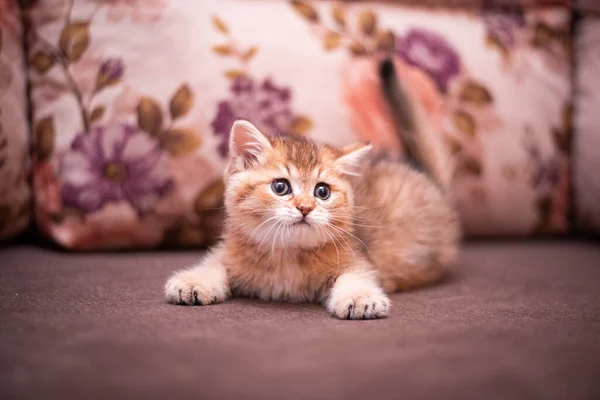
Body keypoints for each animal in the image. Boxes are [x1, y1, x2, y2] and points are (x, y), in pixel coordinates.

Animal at [164, 59, 460, 320]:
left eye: (322, 192)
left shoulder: (357, 259)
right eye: (280, 187)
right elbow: (214, 264)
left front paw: (360, 298)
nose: (305, 207)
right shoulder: (229, 253)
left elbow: (356, 276)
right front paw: (194, 281)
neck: (286, 255)